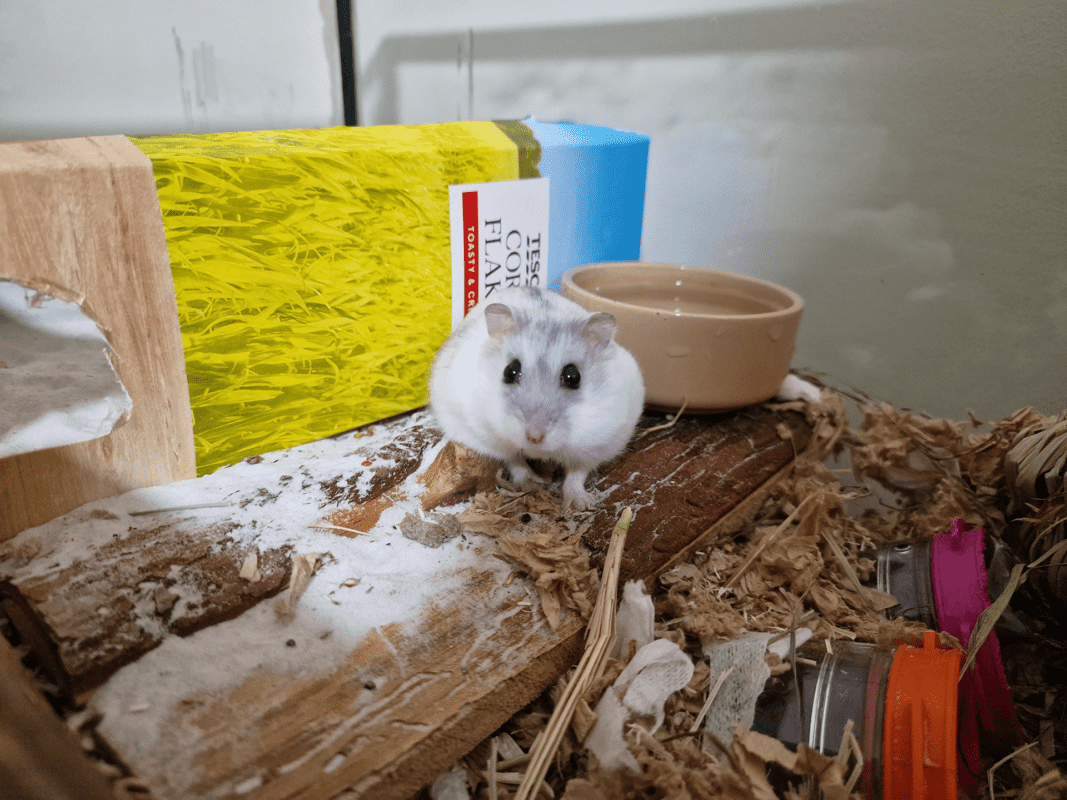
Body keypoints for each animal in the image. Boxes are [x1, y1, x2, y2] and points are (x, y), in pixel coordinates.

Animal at [429, 286, 645, 511]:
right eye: (510, 371)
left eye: (573, 377)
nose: (534, 437)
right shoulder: (488, 439)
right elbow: (515, 461)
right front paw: (531, 484)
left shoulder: (600, 445)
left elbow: (577, 473)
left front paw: (580, 504)